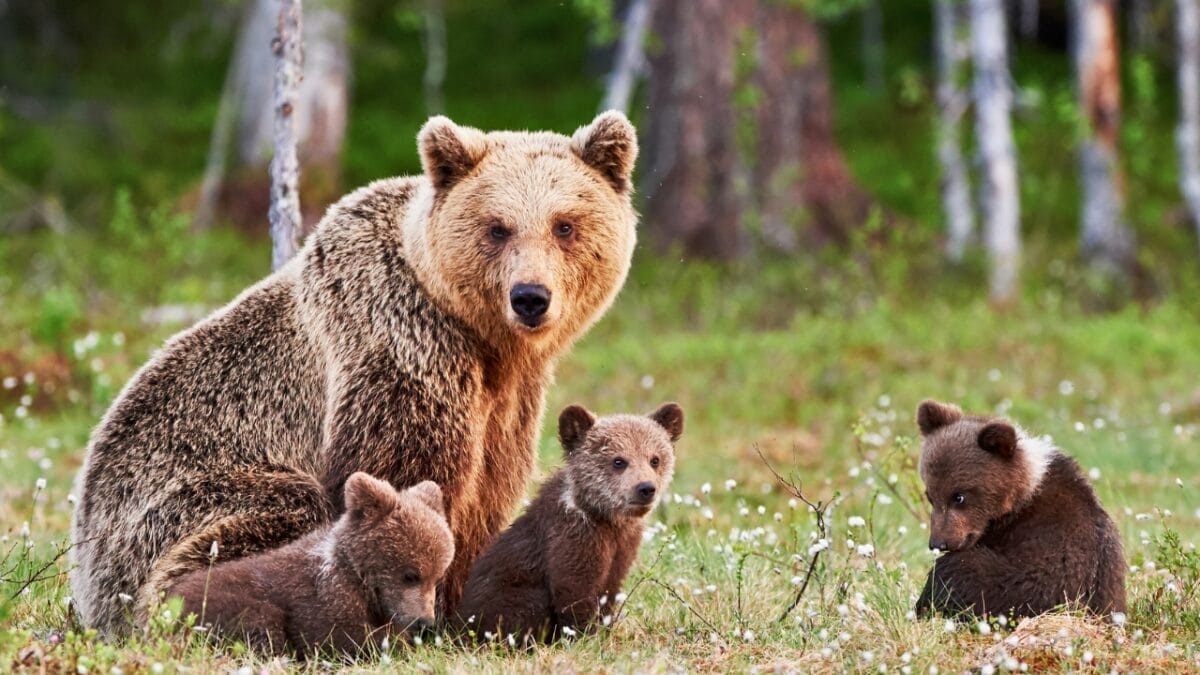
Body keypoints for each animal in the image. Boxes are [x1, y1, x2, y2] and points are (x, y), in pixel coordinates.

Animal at [70, 111, 640, 635]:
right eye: (497, 227)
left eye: (564, 224)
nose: (530, 297)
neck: (481, 339)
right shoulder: (399, 348)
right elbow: (403, 478)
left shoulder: (509, 400)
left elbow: (488, 492)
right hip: (176, 505)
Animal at [455, 402, 684, 643]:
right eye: (618, 461)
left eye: (655, 459)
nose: (646, 488)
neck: (605, 518)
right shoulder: (573, 538)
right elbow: (574, 592)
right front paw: (584, 636)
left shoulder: (623, 547)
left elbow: (610, 590)